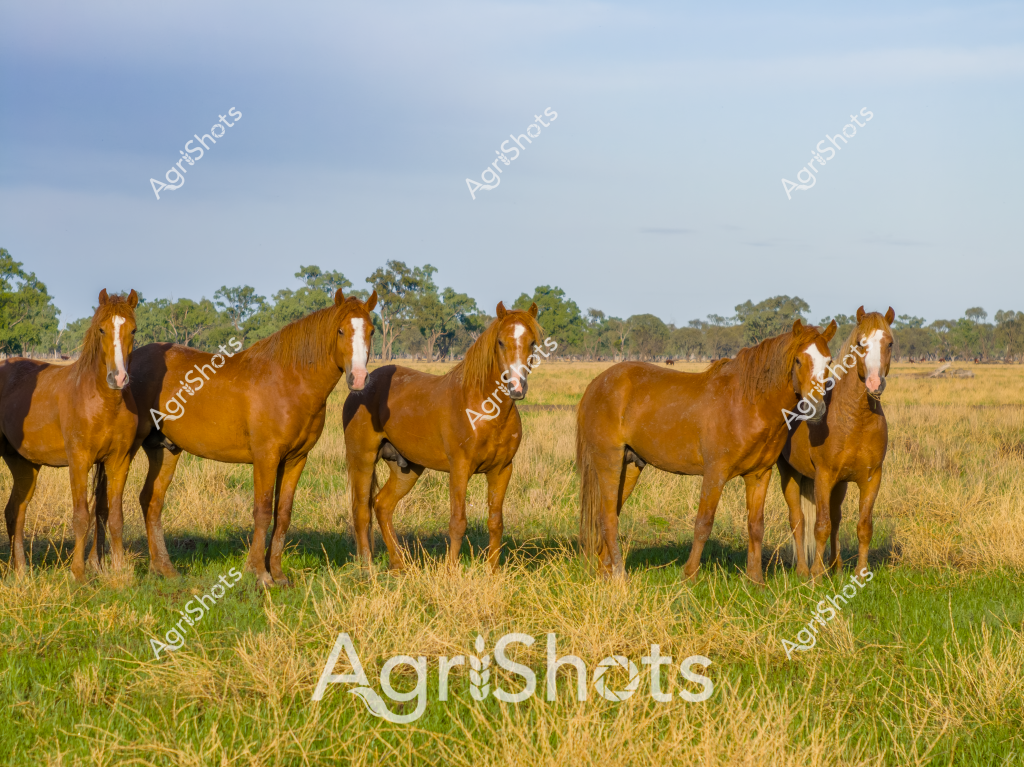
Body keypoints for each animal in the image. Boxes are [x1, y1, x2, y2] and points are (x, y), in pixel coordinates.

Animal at [0, 289, 139, 581]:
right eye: (101, 329)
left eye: (133, 330)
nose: (118, 378)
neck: (102, 402)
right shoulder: (79, 461)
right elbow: (81, 517)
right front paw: (78, 573)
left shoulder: (118, 461)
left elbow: (115, 517)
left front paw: (119, 572)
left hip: (25, 466)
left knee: (15, 511)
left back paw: (21, 571)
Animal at [127, 289, 377, 587]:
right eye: (340, 330)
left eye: (371, 331)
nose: (359, 378)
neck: (289, 381)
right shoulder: (265, 458)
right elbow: (263, 512)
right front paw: (259, 572)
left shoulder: (295, 460)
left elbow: (283, 514)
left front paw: (278, 573)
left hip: (165, 451)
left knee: (151, 500)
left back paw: (164, 568)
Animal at [343, 302, 544, 571]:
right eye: (501, 342)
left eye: (532, 343)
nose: (517, 386)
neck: (485, 409)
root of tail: (361, 386)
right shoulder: (460, 468)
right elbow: (458, 522)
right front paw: (451, 571)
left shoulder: (502, 470)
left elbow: (495, 522)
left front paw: (493, 572)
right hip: (362, 460)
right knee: (361, 511)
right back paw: (367, 566)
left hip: (407, 469)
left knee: (382, 506)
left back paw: (399, 564)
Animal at [577, 319, 837, 582]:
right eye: (798, 360)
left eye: (829, 361)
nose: (816, 409)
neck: (747, 405)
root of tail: (596, 384)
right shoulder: (715, 473)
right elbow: (703, 523)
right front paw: (690, 574)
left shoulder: (759, 475)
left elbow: (756, 526)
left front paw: (755, 579)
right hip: (608, 462)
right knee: (608, 518)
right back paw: (620, 574)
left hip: (629, 466)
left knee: (609, 514)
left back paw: (605, 571)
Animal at [778, 307, 894, 579]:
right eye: (861, 343)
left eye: (890, 343)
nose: (875, 383)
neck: (855, 419)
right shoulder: (824, 476)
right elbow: (820, 525)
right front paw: (816, 575)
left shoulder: (871, 478)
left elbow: (863, 527)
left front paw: (860, 573)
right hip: (789, 474)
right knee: (798, 520)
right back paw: (803, 569)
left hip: (839, 485)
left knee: (836, 519)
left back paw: (837, 567)